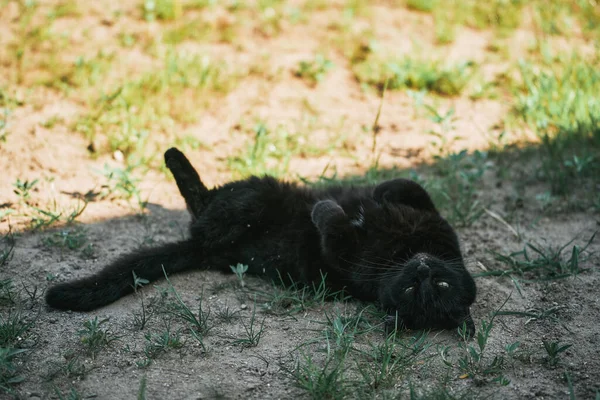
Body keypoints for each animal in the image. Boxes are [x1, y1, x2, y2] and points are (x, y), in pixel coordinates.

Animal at [45, 147, 478, 334]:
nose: (422, 271)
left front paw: (325, 209)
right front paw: (378, 193)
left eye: (432, 288)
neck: (402, 252)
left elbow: (334, 227)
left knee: (199, 199)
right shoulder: (434, 222)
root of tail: (202, 248)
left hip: (248, 197)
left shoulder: (350, 258)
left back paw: (174, 157)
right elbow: (409, 186)